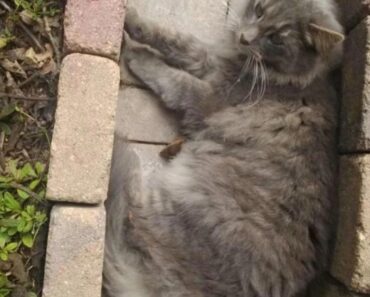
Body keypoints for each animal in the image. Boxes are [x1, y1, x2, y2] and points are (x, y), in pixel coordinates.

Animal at [103, 0, 344, 294]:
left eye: (276, 39)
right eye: (260, 10)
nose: (244, 38)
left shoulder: (206, 97)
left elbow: (171, 77)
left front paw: (136, 54)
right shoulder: (208, 59)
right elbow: (171, 38)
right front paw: (130, 19)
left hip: (184, 199)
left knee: (127, 208)